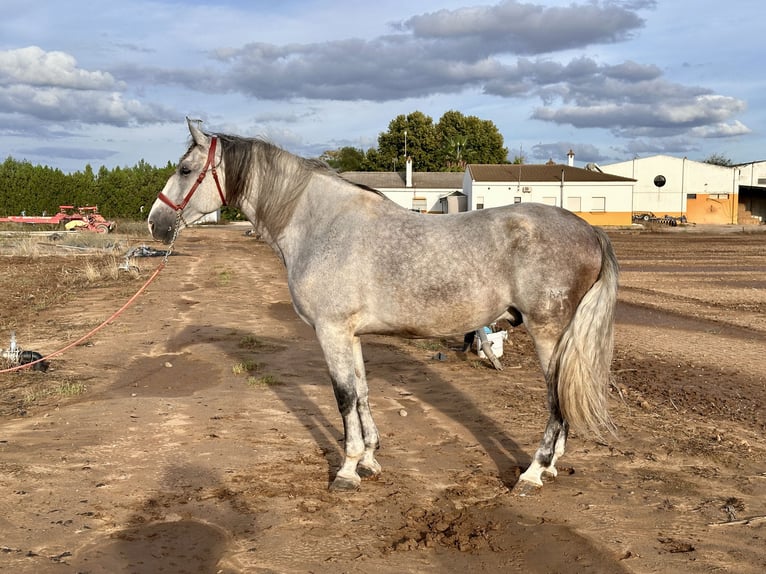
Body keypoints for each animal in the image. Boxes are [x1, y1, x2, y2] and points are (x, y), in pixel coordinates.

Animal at [148, 119, 619, 494]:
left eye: (185, 170)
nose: (156, 222)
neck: (320, 224)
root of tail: (590, 231)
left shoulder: (331, 332)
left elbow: (342, 398)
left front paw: (346, 470)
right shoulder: (349, 335)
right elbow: (361, 393)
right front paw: (370, 460)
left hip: (547, 334)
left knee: (555, 402)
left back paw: (533, 474)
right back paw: (552, 467)